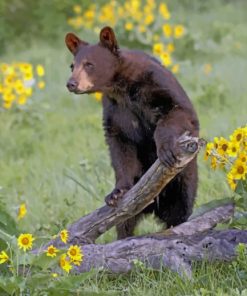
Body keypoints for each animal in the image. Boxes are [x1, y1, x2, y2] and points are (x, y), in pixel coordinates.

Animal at [65, 26, 199, 239]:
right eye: (72, 66)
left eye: (89, 64)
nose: (71, 83)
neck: (121, 87)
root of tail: (155, 206)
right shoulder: (115, 110)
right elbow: (121, 146)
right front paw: (116, 192)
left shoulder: (157, 83)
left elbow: (179, 111)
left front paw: (165, 150)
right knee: (124, 222)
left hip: (184, 182)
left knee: (180, 210)